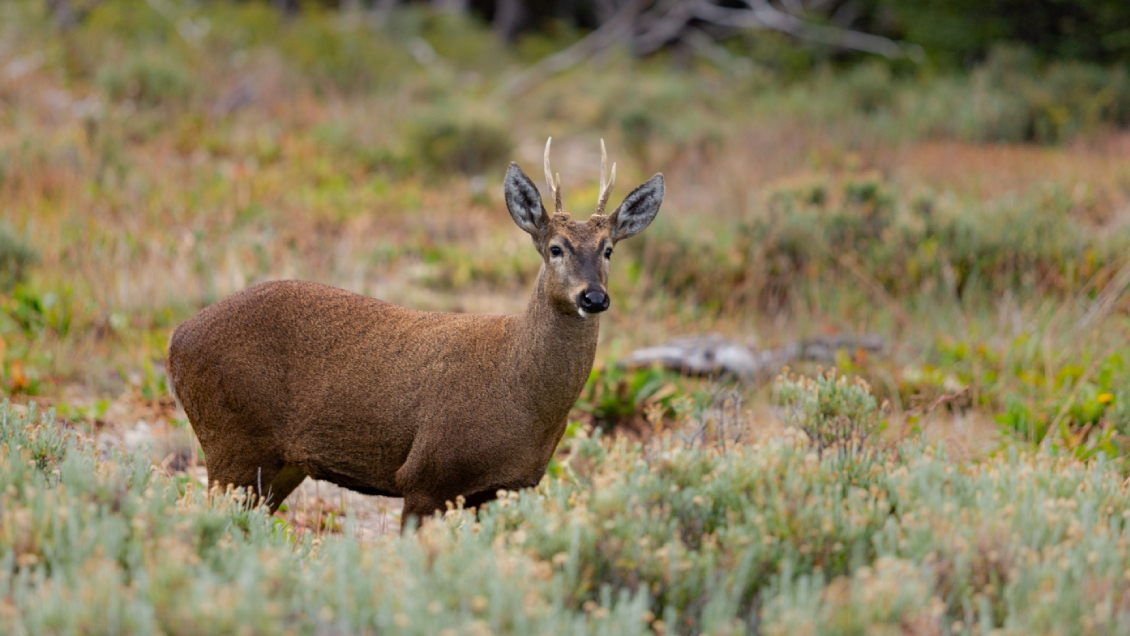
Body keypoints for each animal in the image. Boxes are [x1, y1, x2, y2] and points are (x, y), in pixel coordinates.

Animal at [166, 140, 659, 533]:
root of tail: (175, 340)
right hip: (231, 440)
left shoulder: (505, 488)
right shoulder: (426, 475)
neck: (519, 391)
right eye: (555, 248)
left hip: (278, 462)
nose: (593, 297)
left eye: (608, 250)